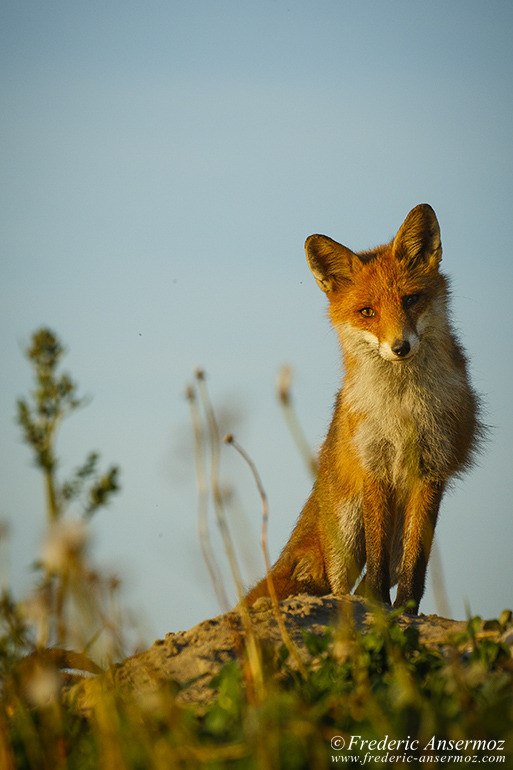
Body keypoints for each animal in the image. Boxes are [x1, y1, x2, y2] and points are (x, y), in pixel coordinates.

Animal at [246, 202, 482, 612]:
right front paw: (380, 608)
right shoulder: (375, 466)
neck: (403, 408)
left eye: (411, 300)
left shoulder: (431, 469)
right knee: (342, 584)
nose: (400, 347)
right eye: (367, 312)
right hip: (345, 530)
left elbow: (416, 565)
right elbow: (375, 563)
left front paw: (405, 612)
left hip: (395, 528)